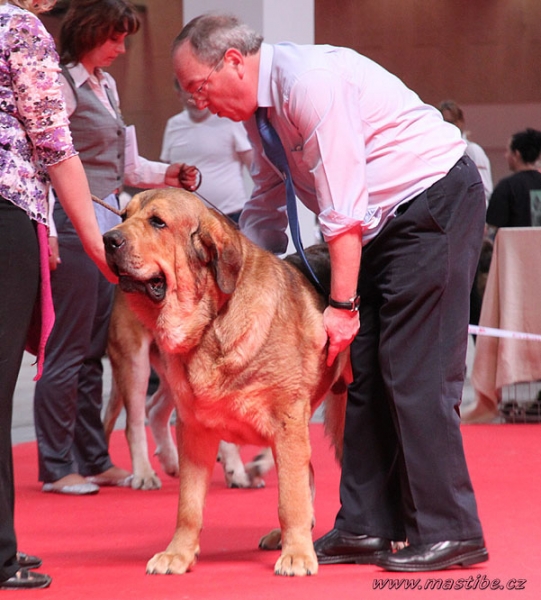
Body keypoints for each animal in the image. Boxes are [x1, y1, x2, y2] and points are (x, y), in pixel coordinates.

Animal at [102, 190, 348, 576]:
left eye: (158, 222)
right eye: (123, 215)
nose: (108, 239)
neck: (211, 322)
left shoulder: (289, 423)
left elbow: (290, 496)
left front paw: (297, 554)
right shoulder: (195, 429)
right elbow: (188, 505)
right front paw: (178, 554)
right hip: (136, 362)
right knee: (139, 418)